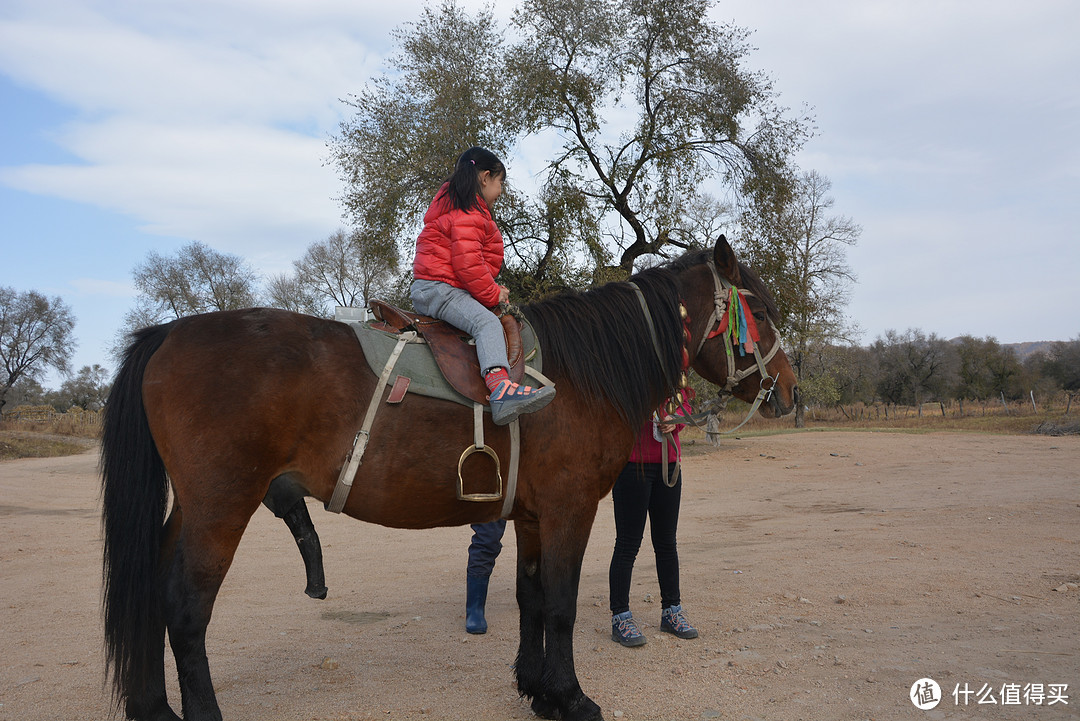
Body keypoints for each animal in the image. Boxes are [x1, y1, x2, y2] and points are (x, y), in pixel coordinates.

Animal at [101, 236, 799, 721]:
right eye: (761, 310)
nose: (789, 392)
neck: (578, 374)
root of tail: (169, 334)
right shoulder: (570, 510)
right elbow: (563, 605)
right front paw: (572, 698)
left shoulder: (532, 516)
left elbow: (530, 598)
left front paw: (536, 689)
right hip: (222, 507)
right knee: (185, 608)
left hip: (191, 510)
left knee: (150, 591)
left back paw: (153, 707)